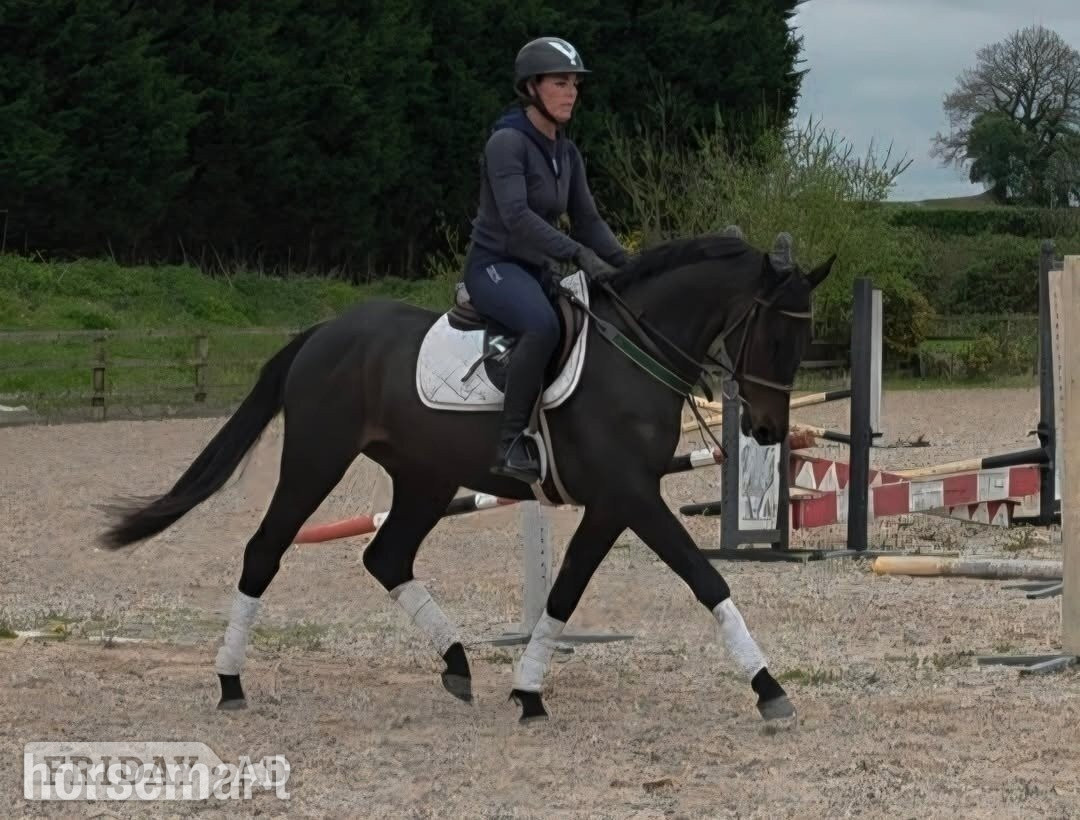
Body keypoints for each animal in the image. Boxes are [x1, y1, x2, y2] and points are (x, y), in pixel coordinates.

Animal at [100, 230, 834, 724]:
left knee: (386, 556)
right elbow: (705, 577)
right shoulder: (631, 494)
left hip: (423, 480)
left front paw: (528, 690)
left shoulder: (612, 502)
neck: (632, 353)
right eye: (774, 337)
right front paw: (769, 687)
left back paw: (456, 663)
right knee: (264, 550)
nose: (768, 430)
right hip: (315, 460)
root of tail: (325, 332)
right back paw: (230, 681)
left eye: (803, 340)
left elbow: (566, 590)